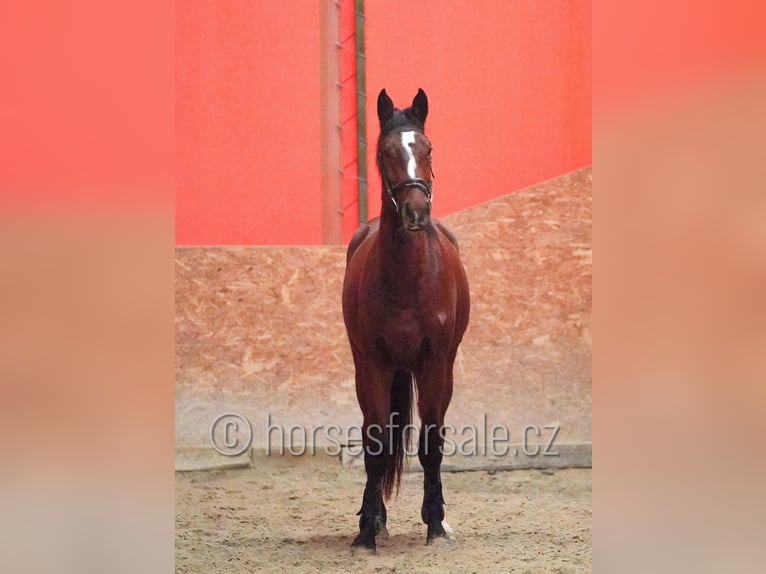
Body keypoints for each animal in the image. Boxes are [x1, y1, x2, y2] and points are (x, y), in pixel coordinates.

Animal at [341, 88, 470, 551]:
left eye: (428, 148)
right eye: (383, 152)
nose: (416, 212)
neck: (405, 280)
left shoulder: (435, 363)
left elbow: (432, 444)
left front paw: (436, 524)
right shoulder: (373, 364)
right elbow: (377, 442)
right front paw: (367, 530)